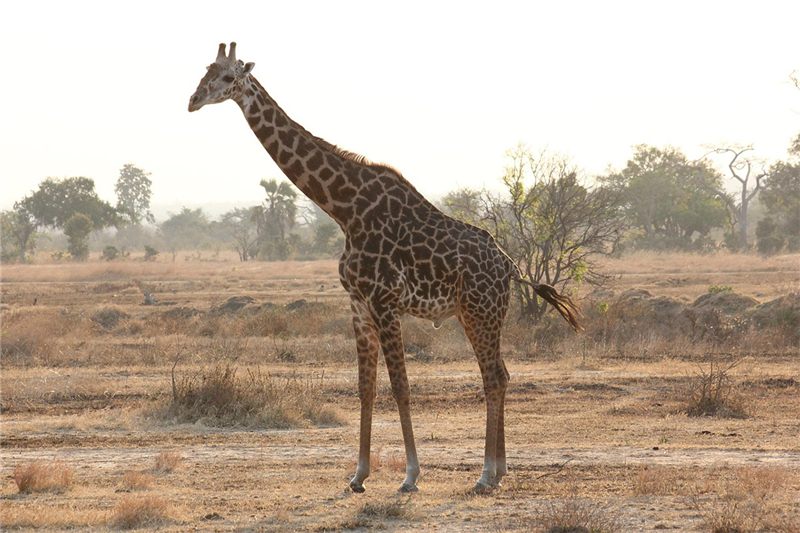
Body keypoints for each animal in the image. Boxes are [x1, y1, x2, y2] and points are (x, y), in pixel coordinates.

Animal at [189, 43, 581, 494]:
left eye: (227, 77)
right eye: (205, 71)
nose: (193, 100)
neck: (345, 209)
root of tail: (510, 266)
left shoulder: (385, 301)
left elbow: (401, 387)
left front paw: (410, 476)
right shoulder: (358, 305)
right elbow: (365, 388)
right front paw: (358, 475)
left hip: (479, 311)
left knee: (494, 377)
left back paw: (485, 474)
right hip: (481, 313)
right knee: (501, 374)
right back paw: (498, 472)